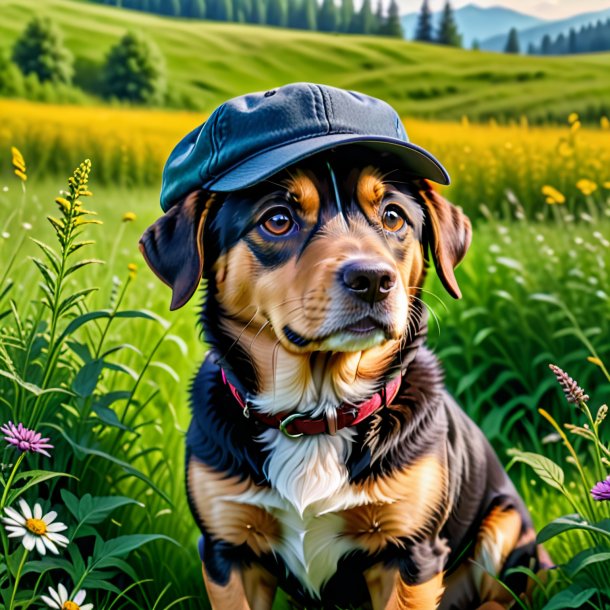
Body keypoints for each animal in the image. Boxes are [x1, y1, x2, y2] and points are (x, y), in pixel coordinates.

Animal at [139, 84, 536, 608]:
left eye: (393, 216)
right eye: (278, 219)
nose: (373, 279)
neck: (316, 412)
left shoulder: (410, 554)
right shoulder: (229, 550)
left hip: (506, 523)